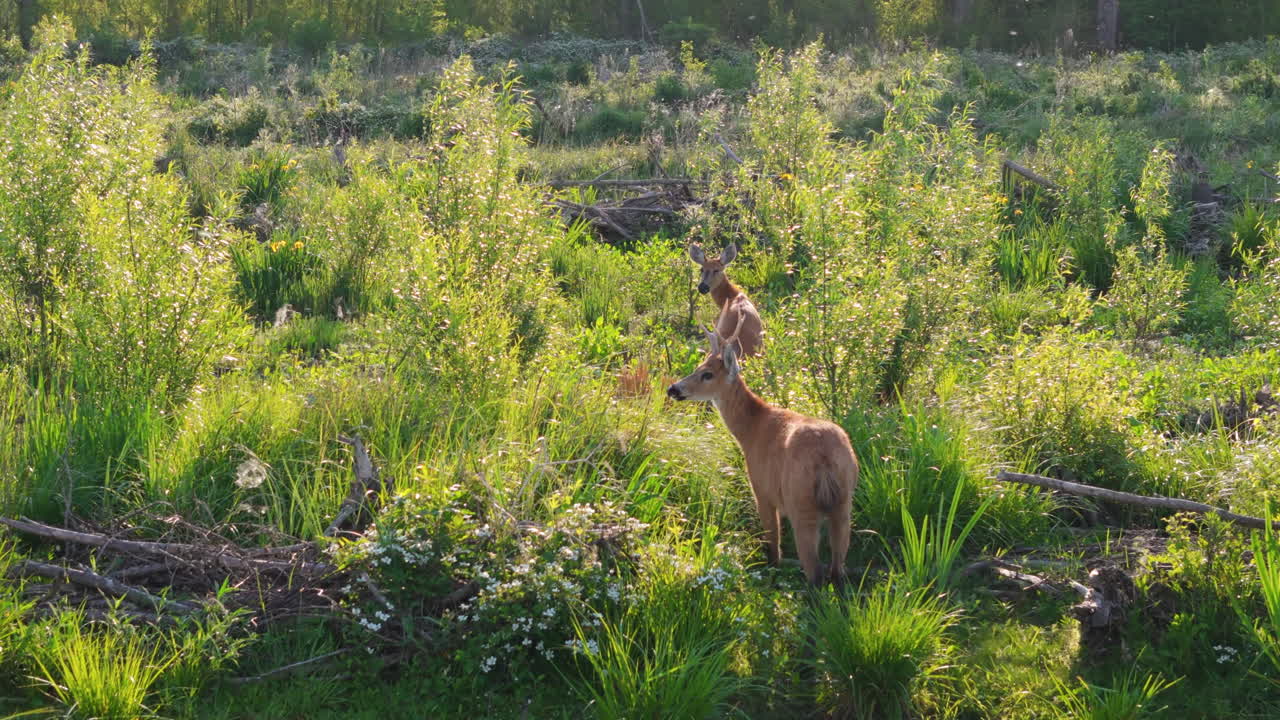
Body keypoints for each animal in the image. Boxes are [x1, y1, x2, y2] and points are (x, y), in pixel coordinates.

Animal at [666, 331, 858, 586]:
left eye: (707, 374)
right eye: (699, 366)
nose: (673, 388)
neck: (751, 430)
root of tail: (825, 458)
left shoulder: (762, 487)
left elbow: (772, 540)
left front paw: (771, 569)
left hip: (800, 499)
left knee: (814, 568)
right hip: (844, 499)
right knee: (838, 565)